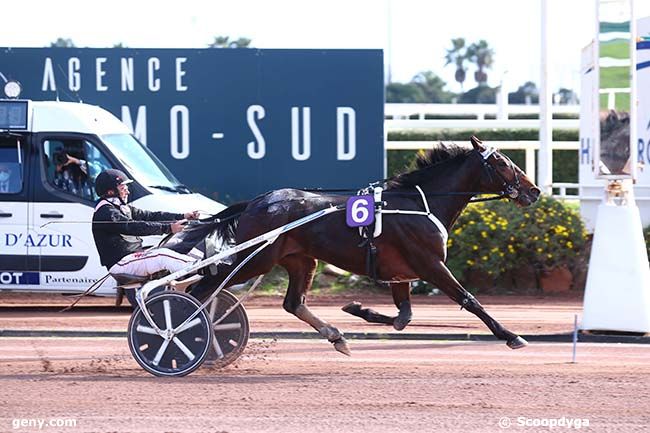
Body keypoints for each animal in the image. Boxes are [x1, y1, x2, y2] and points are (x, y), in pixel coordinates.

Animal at [180, 136, 540, 354]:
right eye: (502, 162)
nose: (534, 191)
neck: (419, 203)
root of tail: (256, 202)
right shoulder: (430, 264)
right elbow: (469, 300)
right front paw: (511, 336)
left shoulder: (401, 273)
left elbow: (404, 317)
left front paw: (357, 309)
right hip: (255, 259)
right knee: (202, 288)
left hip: (300, 260)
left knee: (293, 303)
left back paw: (335, 336)